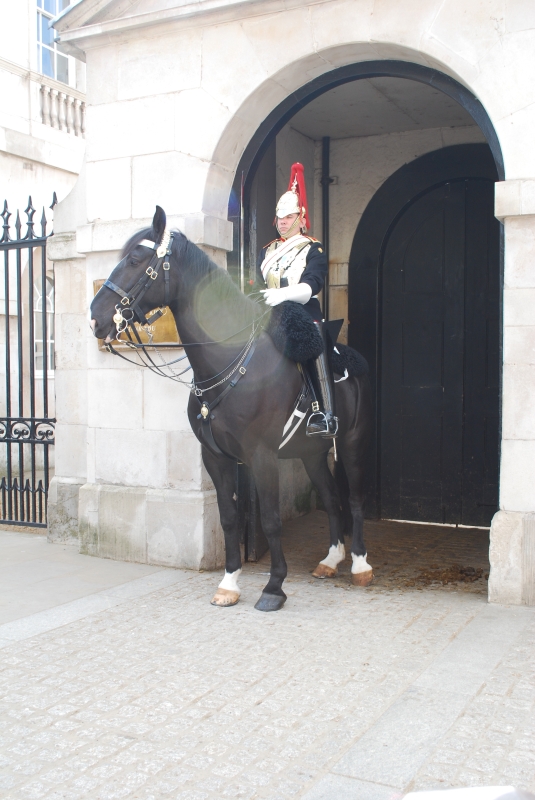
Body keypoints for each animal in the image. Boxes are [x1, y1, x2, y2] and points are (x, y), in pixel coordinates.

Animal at [90, 206, 372, 612]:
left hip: (351, 442)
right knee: (333, 500)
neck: (227, 364)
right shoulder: (216, 456)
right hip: (312, 452)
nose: (96, 318)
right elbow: (228, 518)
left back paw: (361, 564)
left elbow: (270, 520)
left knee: (355, 499)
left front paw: (274, 587)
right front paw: (229, 583)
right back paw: (331, 560)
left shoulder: (262, 455)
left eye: (134, 260)